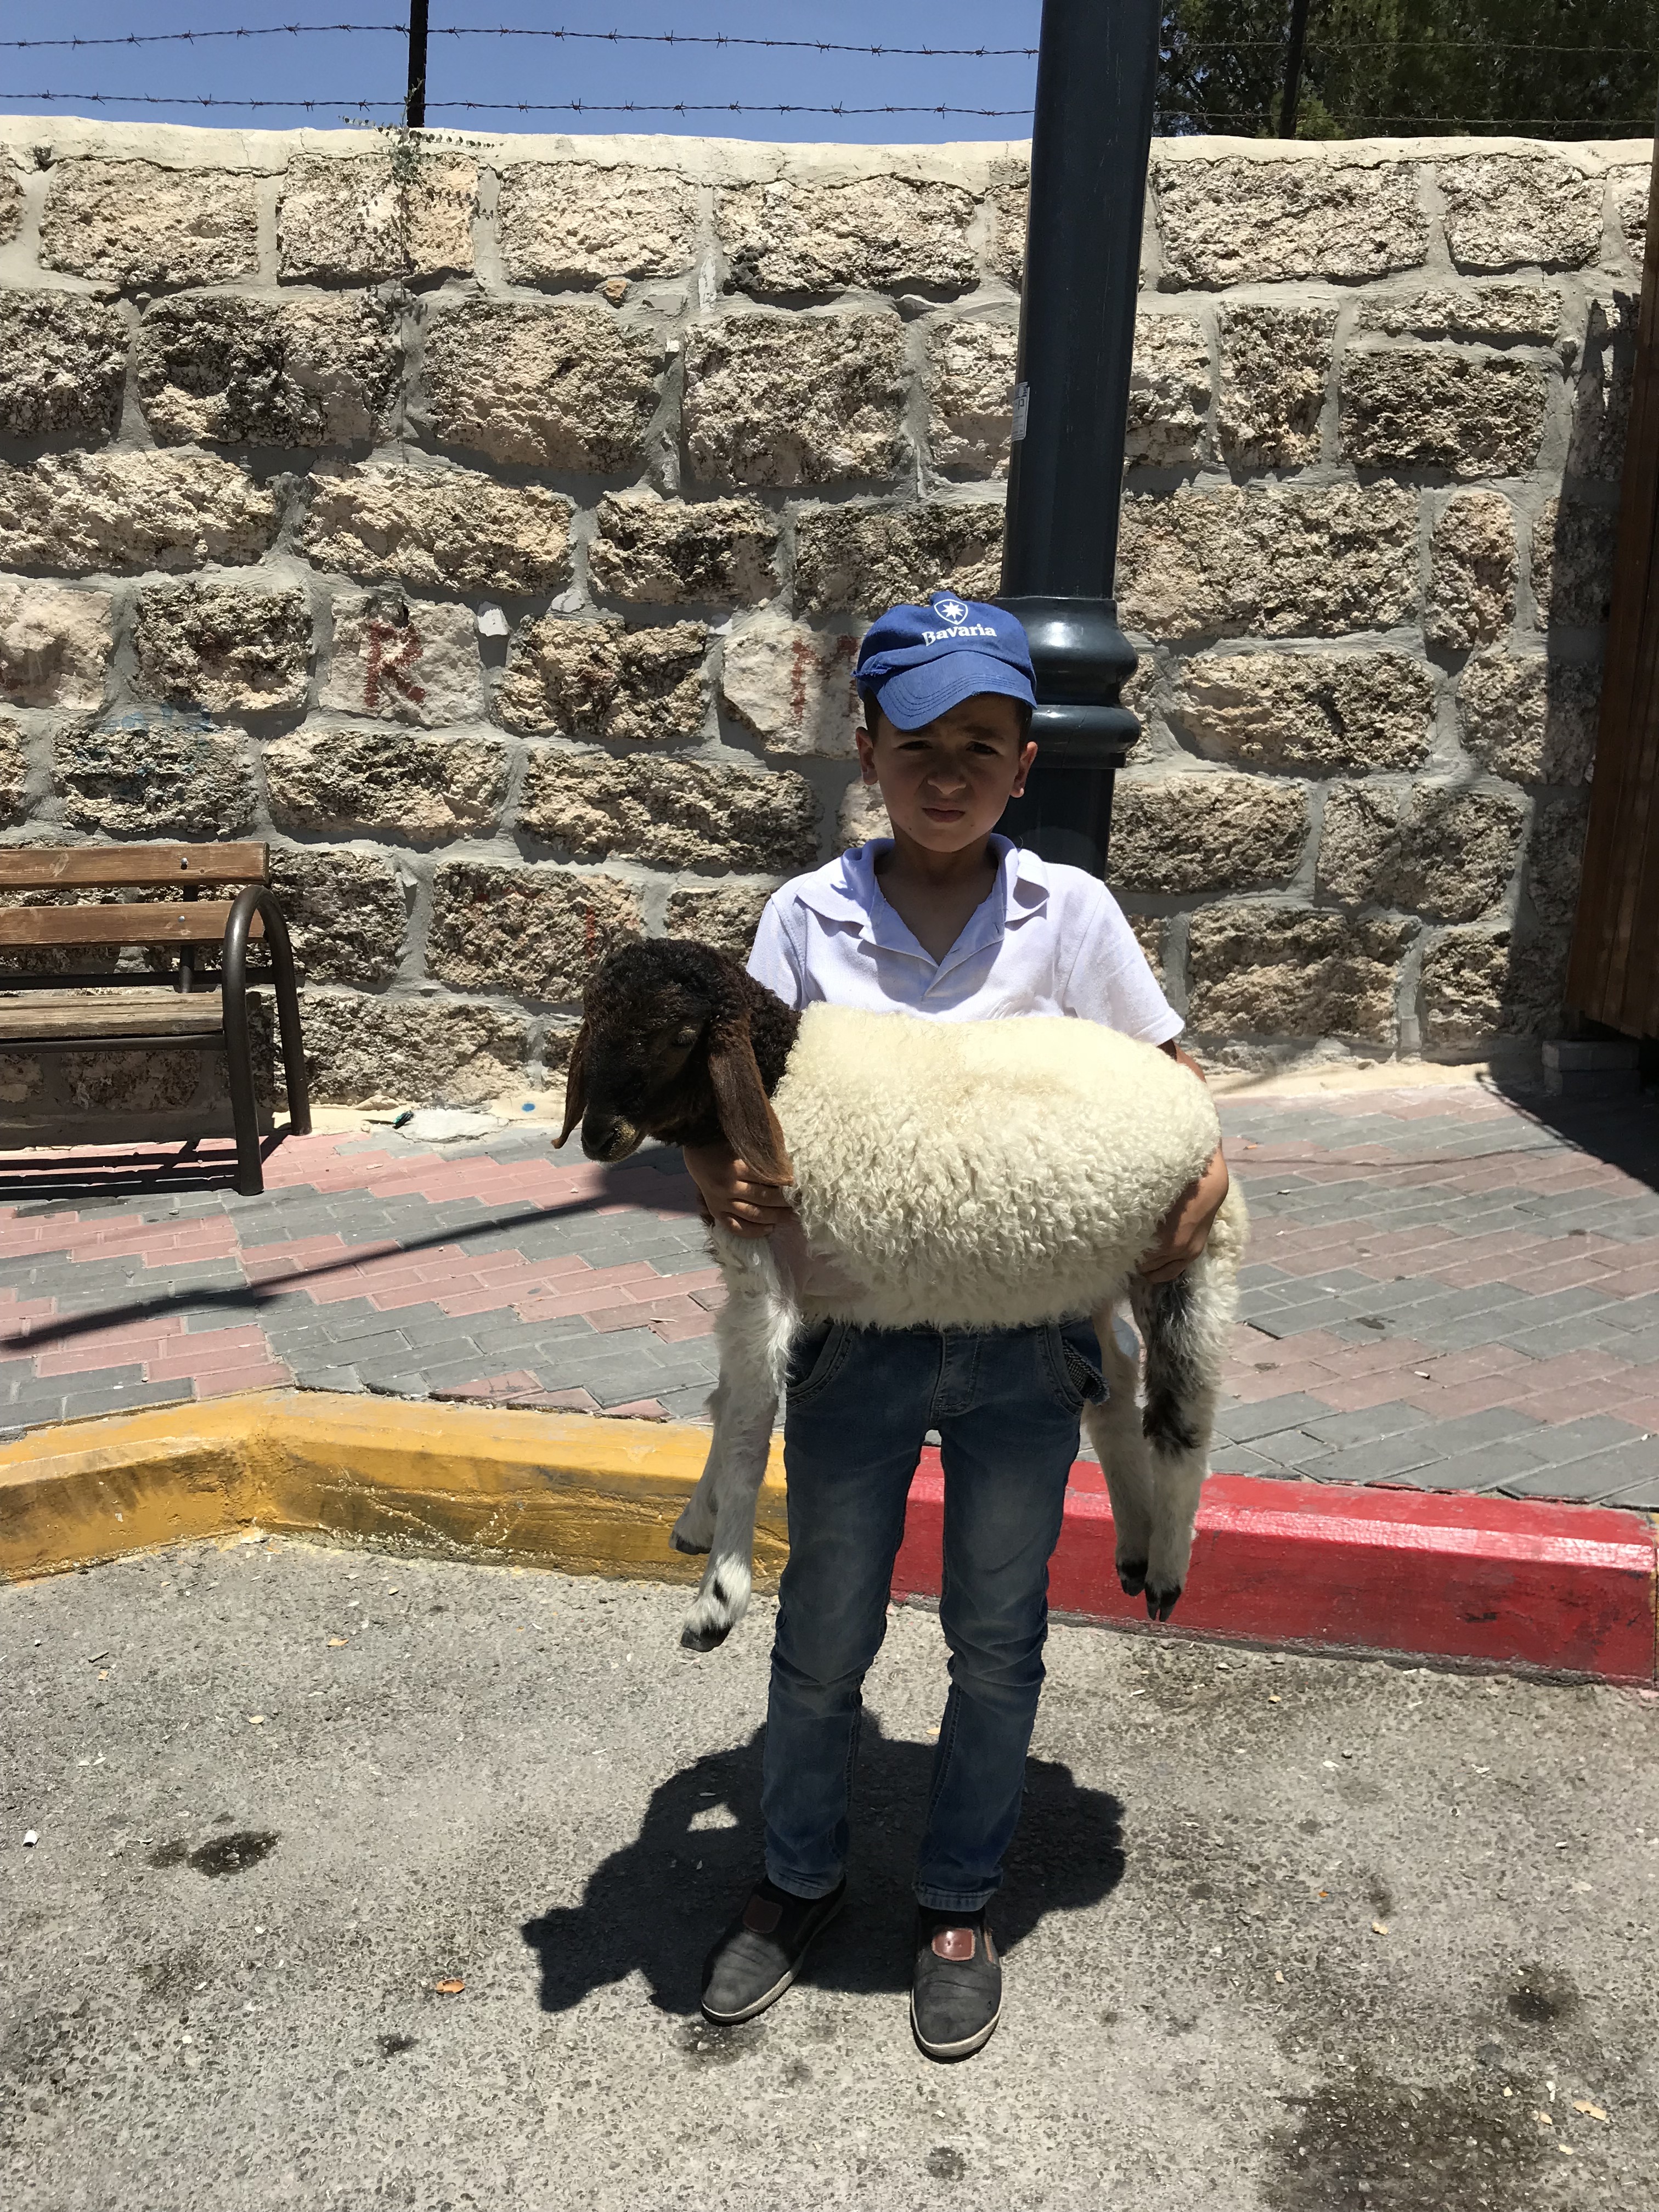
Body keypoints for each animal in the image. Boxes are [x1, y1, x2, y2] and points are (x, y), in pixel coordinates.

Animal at [560, 938, 1248, 1652]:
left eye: (681, 1036)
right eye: (593, 1017)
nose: (599, 1136)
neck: (777, 1074)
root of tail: (1191, 1097)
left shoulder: (766, 1282)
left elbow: (749, 1427)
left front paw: (718, 1601)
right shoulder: (746, 1275)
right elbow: (726, 1405)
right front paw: (697, 1523)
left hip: (1194, 1254)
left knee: (1183, 1419)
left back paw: (1167, 1572)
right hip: (1093, 1271)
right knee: (1115, 1381)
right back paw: (1135, 1546)